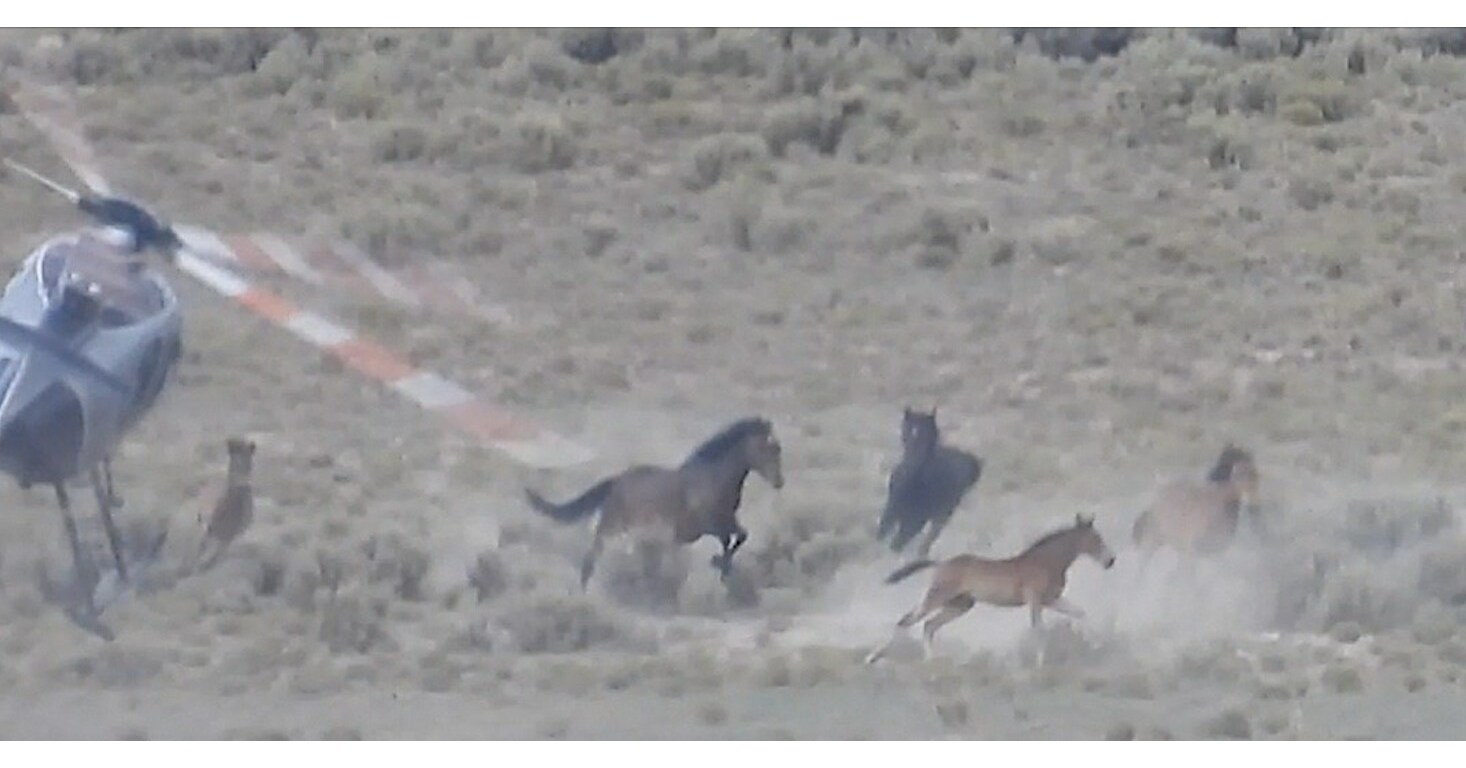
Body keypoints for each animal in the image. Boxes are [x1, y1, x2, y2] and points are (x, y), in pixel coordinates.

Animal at [525, 416, 784, 591]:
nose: (779, 482)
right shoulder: (705, 525)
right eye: (768, 447)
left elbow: (739, 536)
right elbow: (732, 538)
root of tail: (617, 481)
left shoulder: (726, 520)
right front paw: (719, 563)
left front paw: (722, 567)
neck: (713, 479)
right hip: (612, 526)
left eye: (778, 448)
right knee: (591, 558)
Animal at [865, 514, 1115, 664]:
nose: (1110, 561)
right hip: (939, 596)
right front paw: (1039, 665)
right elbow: (1039, 631)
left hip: (960, 604)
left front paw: (1096, 642)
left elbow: (1080, 613)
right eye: (1095, 540)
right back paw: (873, 658)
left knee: (928, 625)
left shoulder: (1051, 600)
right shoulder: (1035, 600)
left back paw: (930, 662)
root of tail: (941, 562)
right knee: (907, 620)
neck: (1046, 562)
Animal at [876, 407, 983, 558]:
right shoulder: (892, 509)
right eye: (906, 431)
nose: (912, 463)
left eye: (928, 435)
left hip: (941, 514)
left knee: (930, 536)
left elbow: (897, 543)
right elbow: (882, 533)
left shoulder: (915, 520)